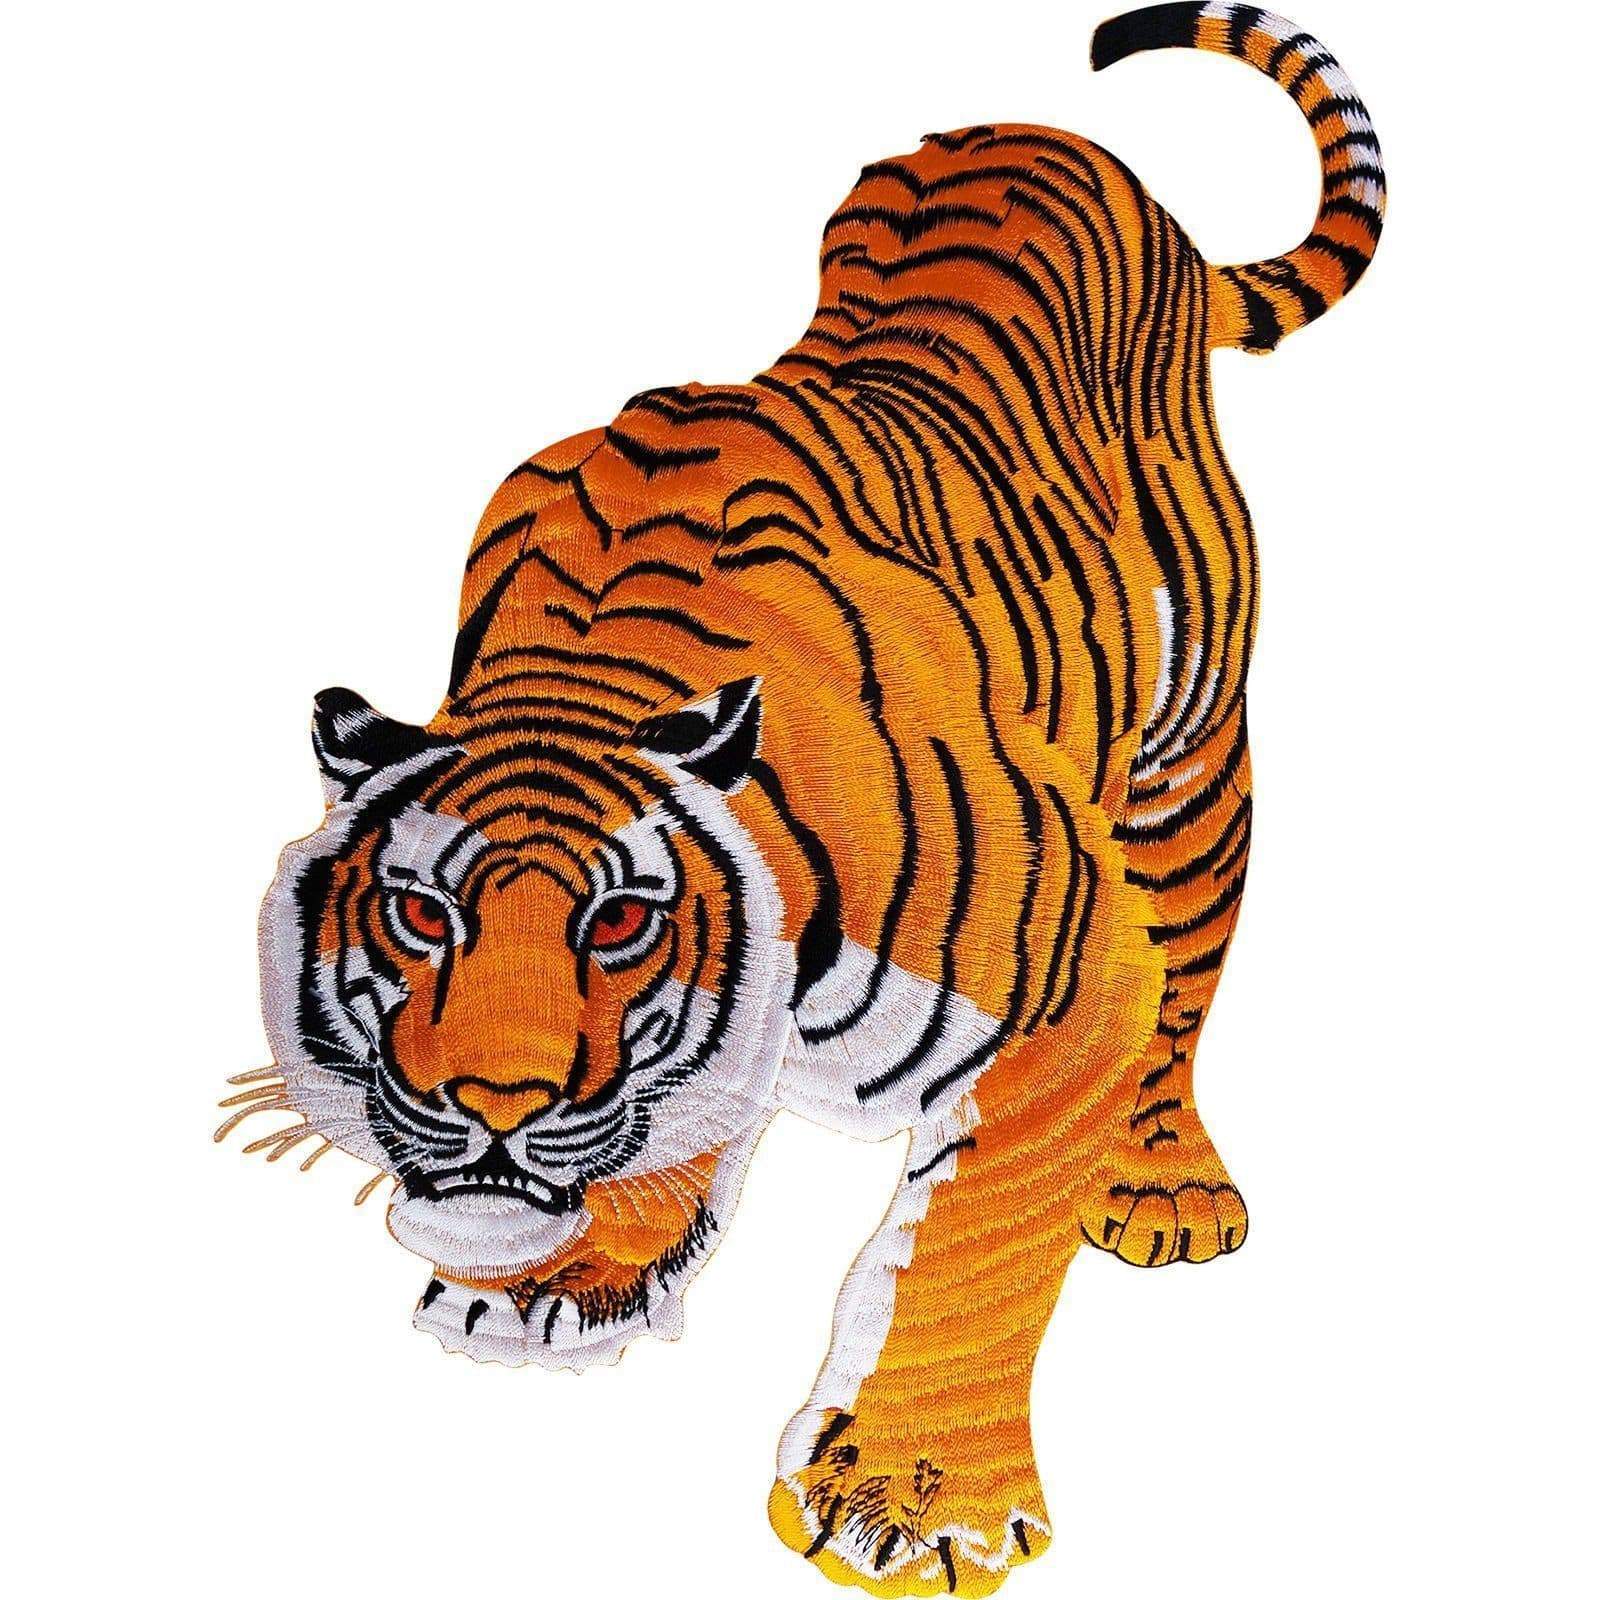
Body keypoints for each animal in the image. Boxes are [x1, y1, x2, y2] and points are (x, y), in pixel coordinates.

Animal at [232, 5, 1384, 1594]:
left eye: (622, 925)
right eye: (416, 917)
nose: (490, 1110)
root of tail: (1068, 143)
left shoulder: (1073, 977)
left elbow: (970, 1242)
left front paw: (914, 1495)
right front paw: (573, 1269)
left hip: (1188, 759)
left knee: (1189, 970)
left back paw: (1162, 1183)